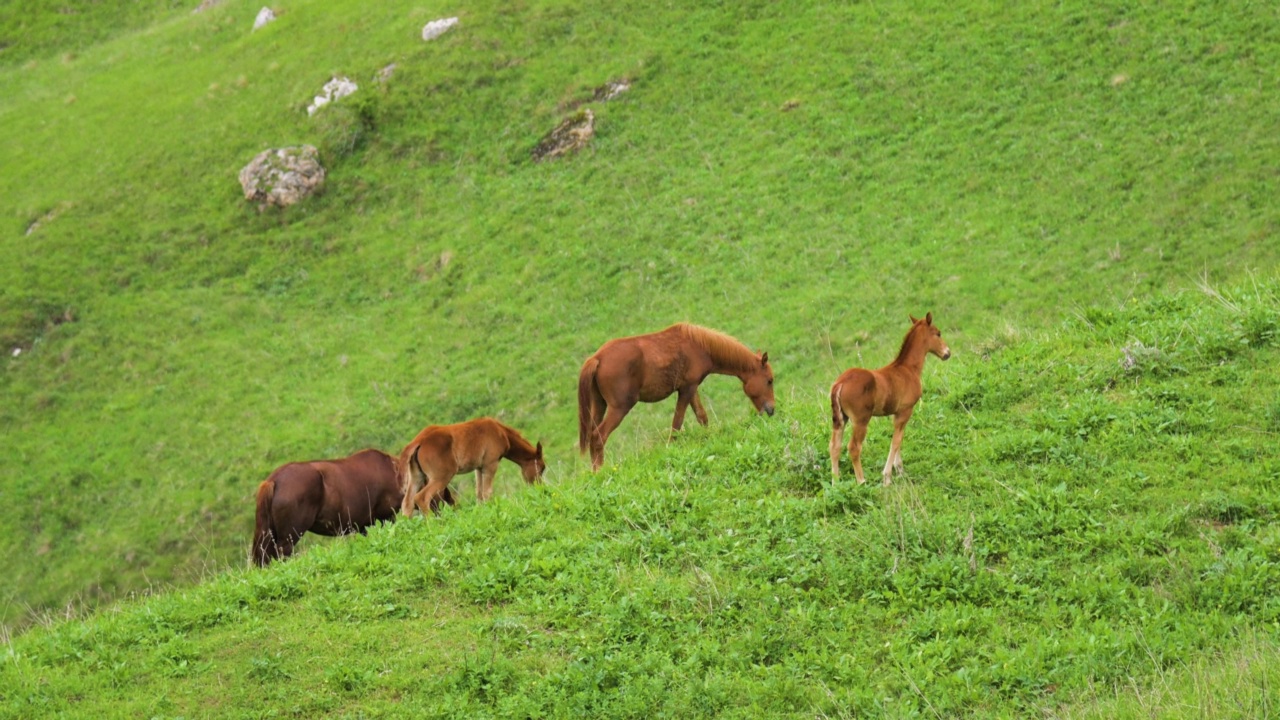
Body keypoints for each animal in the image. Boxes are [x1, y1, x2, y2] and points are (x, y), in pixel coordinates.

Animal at [250, 445, 435, 563]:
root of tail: (273, 481)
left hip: (269, 535)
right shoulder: (386, 517)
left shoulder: (364, 526)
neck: (394, 473)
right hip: (289, 537)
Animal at [396, 415, 542, 520]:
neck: (500, 432)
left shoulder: (478, 467)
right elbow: (487, 492)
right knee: (421, 497)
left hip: (417, 476)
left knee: (407, 503)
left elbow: (479, 492)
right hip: (442, 476)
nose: (538, 487)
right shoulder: (491, 464)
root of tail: (419, 441)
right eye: (542, 468)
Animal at [578, 320, 773, 468]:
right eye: (770, 380)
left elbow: (702, 417)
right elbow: (677, 424)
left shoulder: (691, 388)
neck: (699, 345)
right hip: (619, 408)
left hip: (600, 405)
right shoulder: (686, 389)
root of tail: (597, 358)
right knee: (598, 437)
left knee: (592, 437)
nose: (771, 410)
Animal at [829, 312, 952, 481]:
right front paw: (887, 476)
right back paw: (861, 481)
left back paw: (835, 483)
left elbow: (898, 439)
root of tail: (840, 383)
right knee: (854, 447)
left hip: (841, 419)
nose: (947, 353)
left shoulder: (897, 413)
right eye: (938, 333)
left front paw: (899, 470)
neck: (907, 369)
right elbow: (896, 441)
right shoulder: (905, 411)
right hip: (861, 420)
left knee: (834, 447)